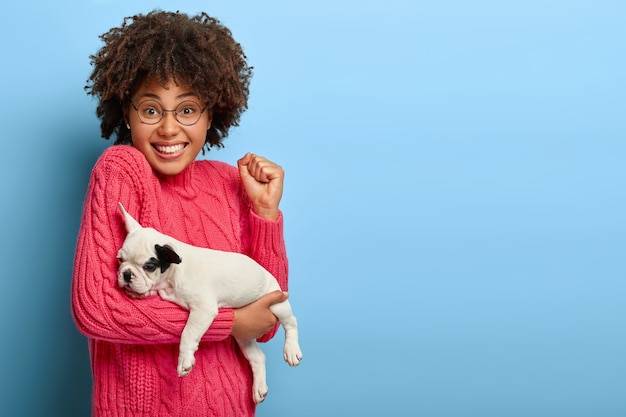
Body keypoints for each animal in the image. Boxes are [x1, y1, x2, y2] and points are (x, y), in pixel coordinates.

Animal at [118, 203, 304, 402]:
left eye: (149, 266)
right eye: (120, 259)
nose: (126, 274)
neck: (172, 275)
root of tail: (267, 273)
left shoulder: (203, 309)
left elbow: (188, 333)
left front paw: (185, 360)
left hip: (277, 302)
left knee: (291, 323)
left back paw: (291, 350)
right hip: (243, 336)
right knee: (257, 357)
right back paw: (259, 388)